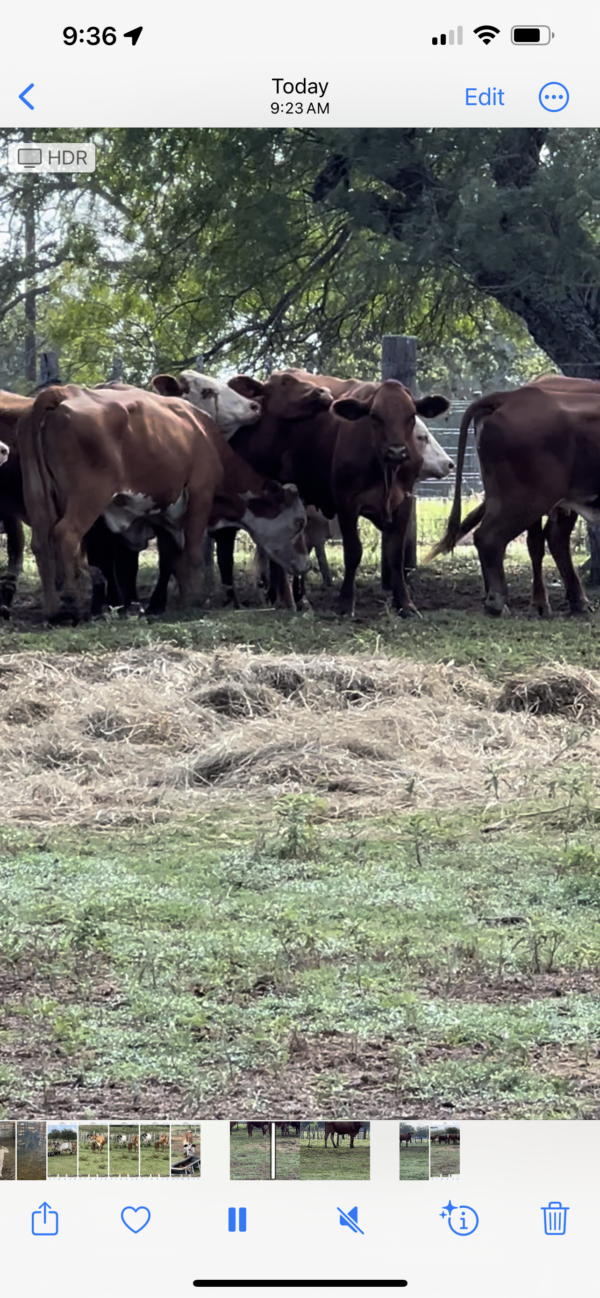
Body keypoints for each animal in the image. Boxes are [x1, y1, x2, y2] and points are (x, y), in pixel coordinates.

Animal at [18, 381, 309, 620]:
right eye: (299, 523)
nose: (304, 565)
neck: (203, 436)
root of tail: (63, 392)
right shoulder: (200, 496)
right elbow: (191, 554)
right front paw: (194, 599)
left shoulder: (163, 514)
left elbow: (172, 558)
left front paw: (173, 599)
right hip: (89, 497)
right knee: (66, 535)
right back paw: (71, 602)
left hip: (38, 498)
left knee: (41, 544)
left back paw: (53, 609)